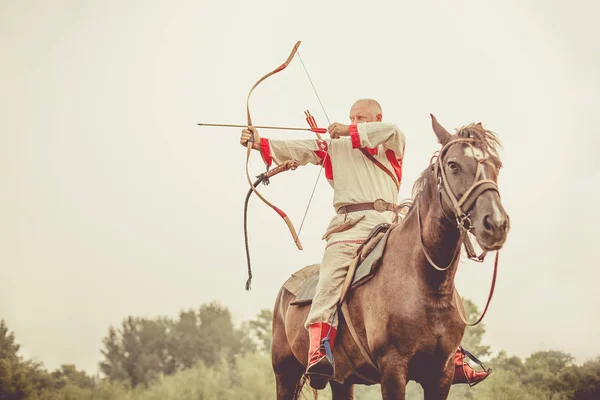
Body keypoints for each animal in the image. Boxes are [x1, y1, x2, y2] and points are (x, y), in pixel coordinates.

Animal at [272, 114, 510, 398]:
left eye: (497, 164)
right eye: (453, 165)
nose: (496, 224)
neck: (427, 283)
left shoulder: (442, 373)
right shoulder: (393, 367)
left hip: (342, 380)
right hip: (285, 373)